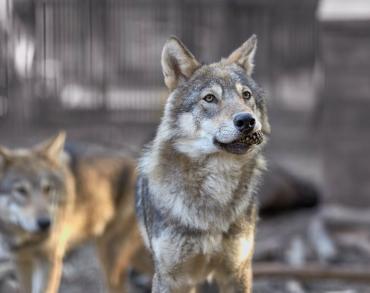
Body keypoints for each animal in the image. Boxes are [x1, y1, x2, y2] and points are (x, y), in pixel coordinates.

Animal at [0, 133, 150, 292]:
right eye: (21, 190)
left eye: (47, 189)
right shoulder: (22, 261)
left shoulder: (50, 261)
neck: (26, 238)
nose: (45, 223)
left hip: (111, 258)